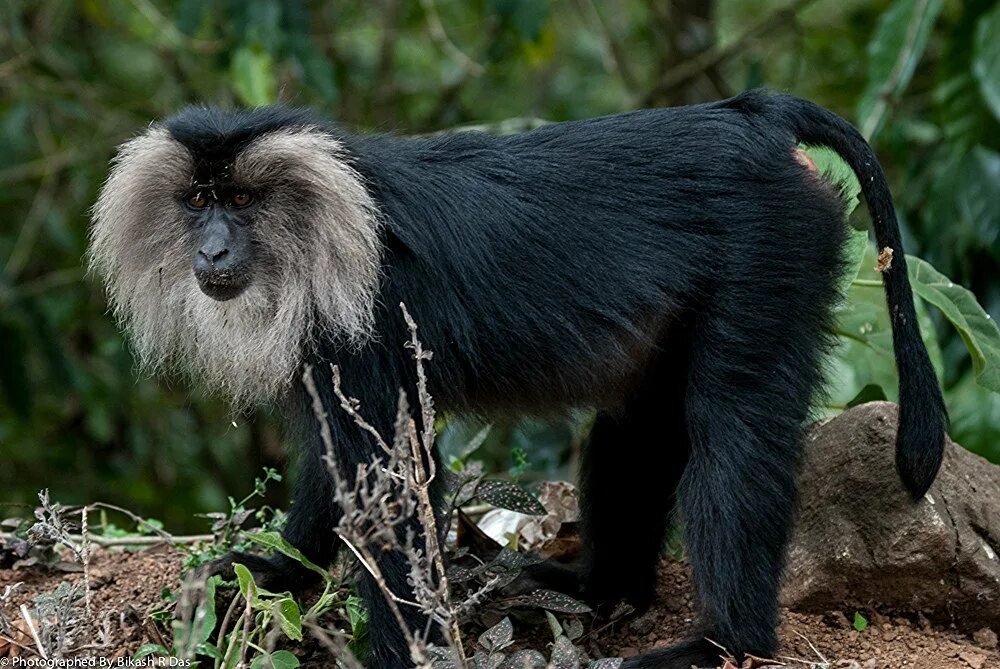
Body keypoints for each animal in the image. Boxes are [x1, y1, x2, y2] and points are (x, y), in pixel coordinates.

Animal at [88, 90, 944, 668]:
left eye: (241, 199)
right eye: (198, 201)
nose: (212, 250)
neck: (323, 221)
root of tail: (755, 116)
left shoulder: (369, 319)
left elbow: (393, 483)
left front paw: (402, 649)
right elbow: (343, 472)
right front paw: (276, 570)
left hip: (773, 246)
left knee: (733, 426)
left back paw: (727, 641)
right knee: (641, 421)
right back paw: (603, 589)